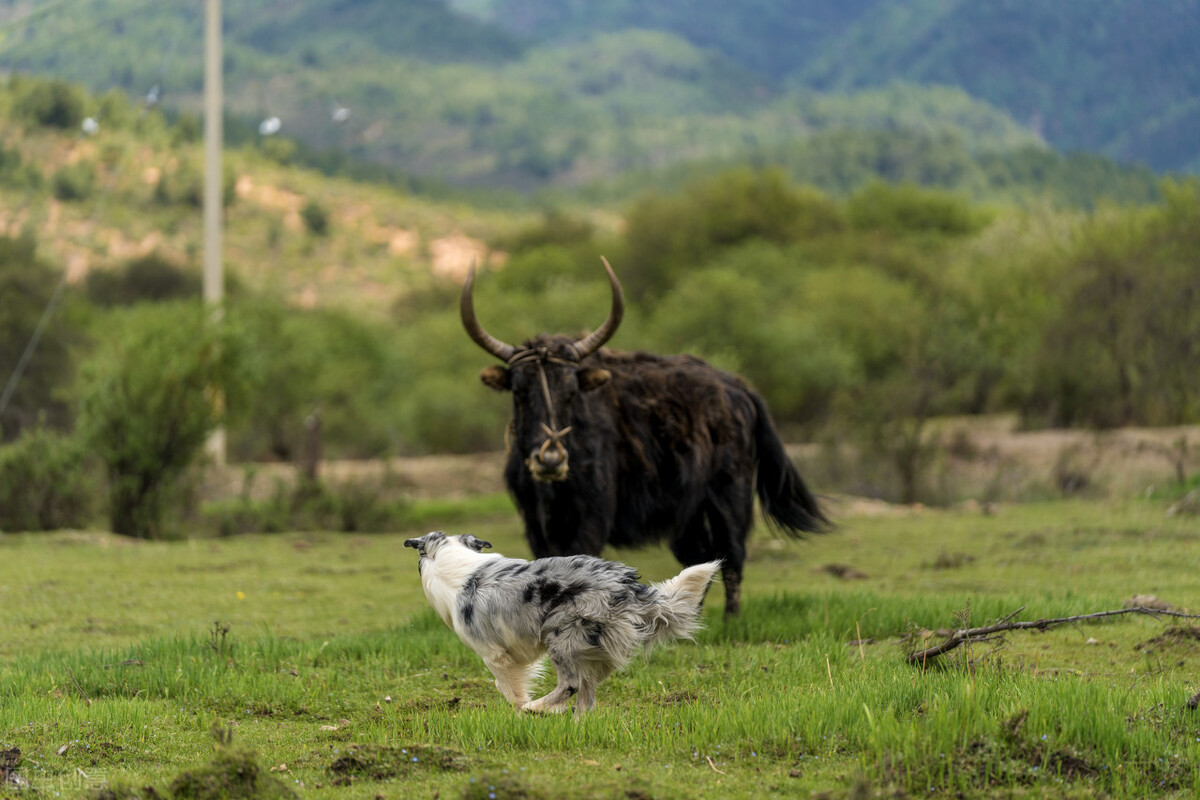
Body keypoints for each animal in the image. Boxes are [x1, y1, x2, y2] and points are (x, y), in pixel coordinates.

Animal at [403, 534, 720, 714]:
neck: (453, 559)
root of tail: (627, 586)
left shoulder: (494, 654)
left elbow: (508, 688)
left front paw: (521, 711)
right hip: (591, 647)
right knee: (587, 695)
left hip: (560, 636)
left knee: (572, 683)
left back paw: (536, 708)